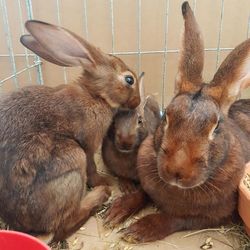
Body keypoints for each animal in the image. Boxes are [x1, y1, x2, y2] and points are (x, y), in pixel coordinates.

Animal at [0, 20, 142, 242]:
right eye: (129, 80)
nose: (137, 101)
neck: (96, 96)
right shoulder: (88, 145)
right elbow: (92, 166)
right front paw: (103, 181)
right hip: (74, 162)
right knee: (63, 223)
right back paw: (100, 194)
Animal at [118, 1, 250, 243]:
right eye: (167, 116)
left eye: (216, 126)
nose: (177, 171)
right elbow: (141, 193)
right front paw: (118, 210)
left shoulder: (217, 215)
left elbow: (176, 219)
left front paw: (138, 230)